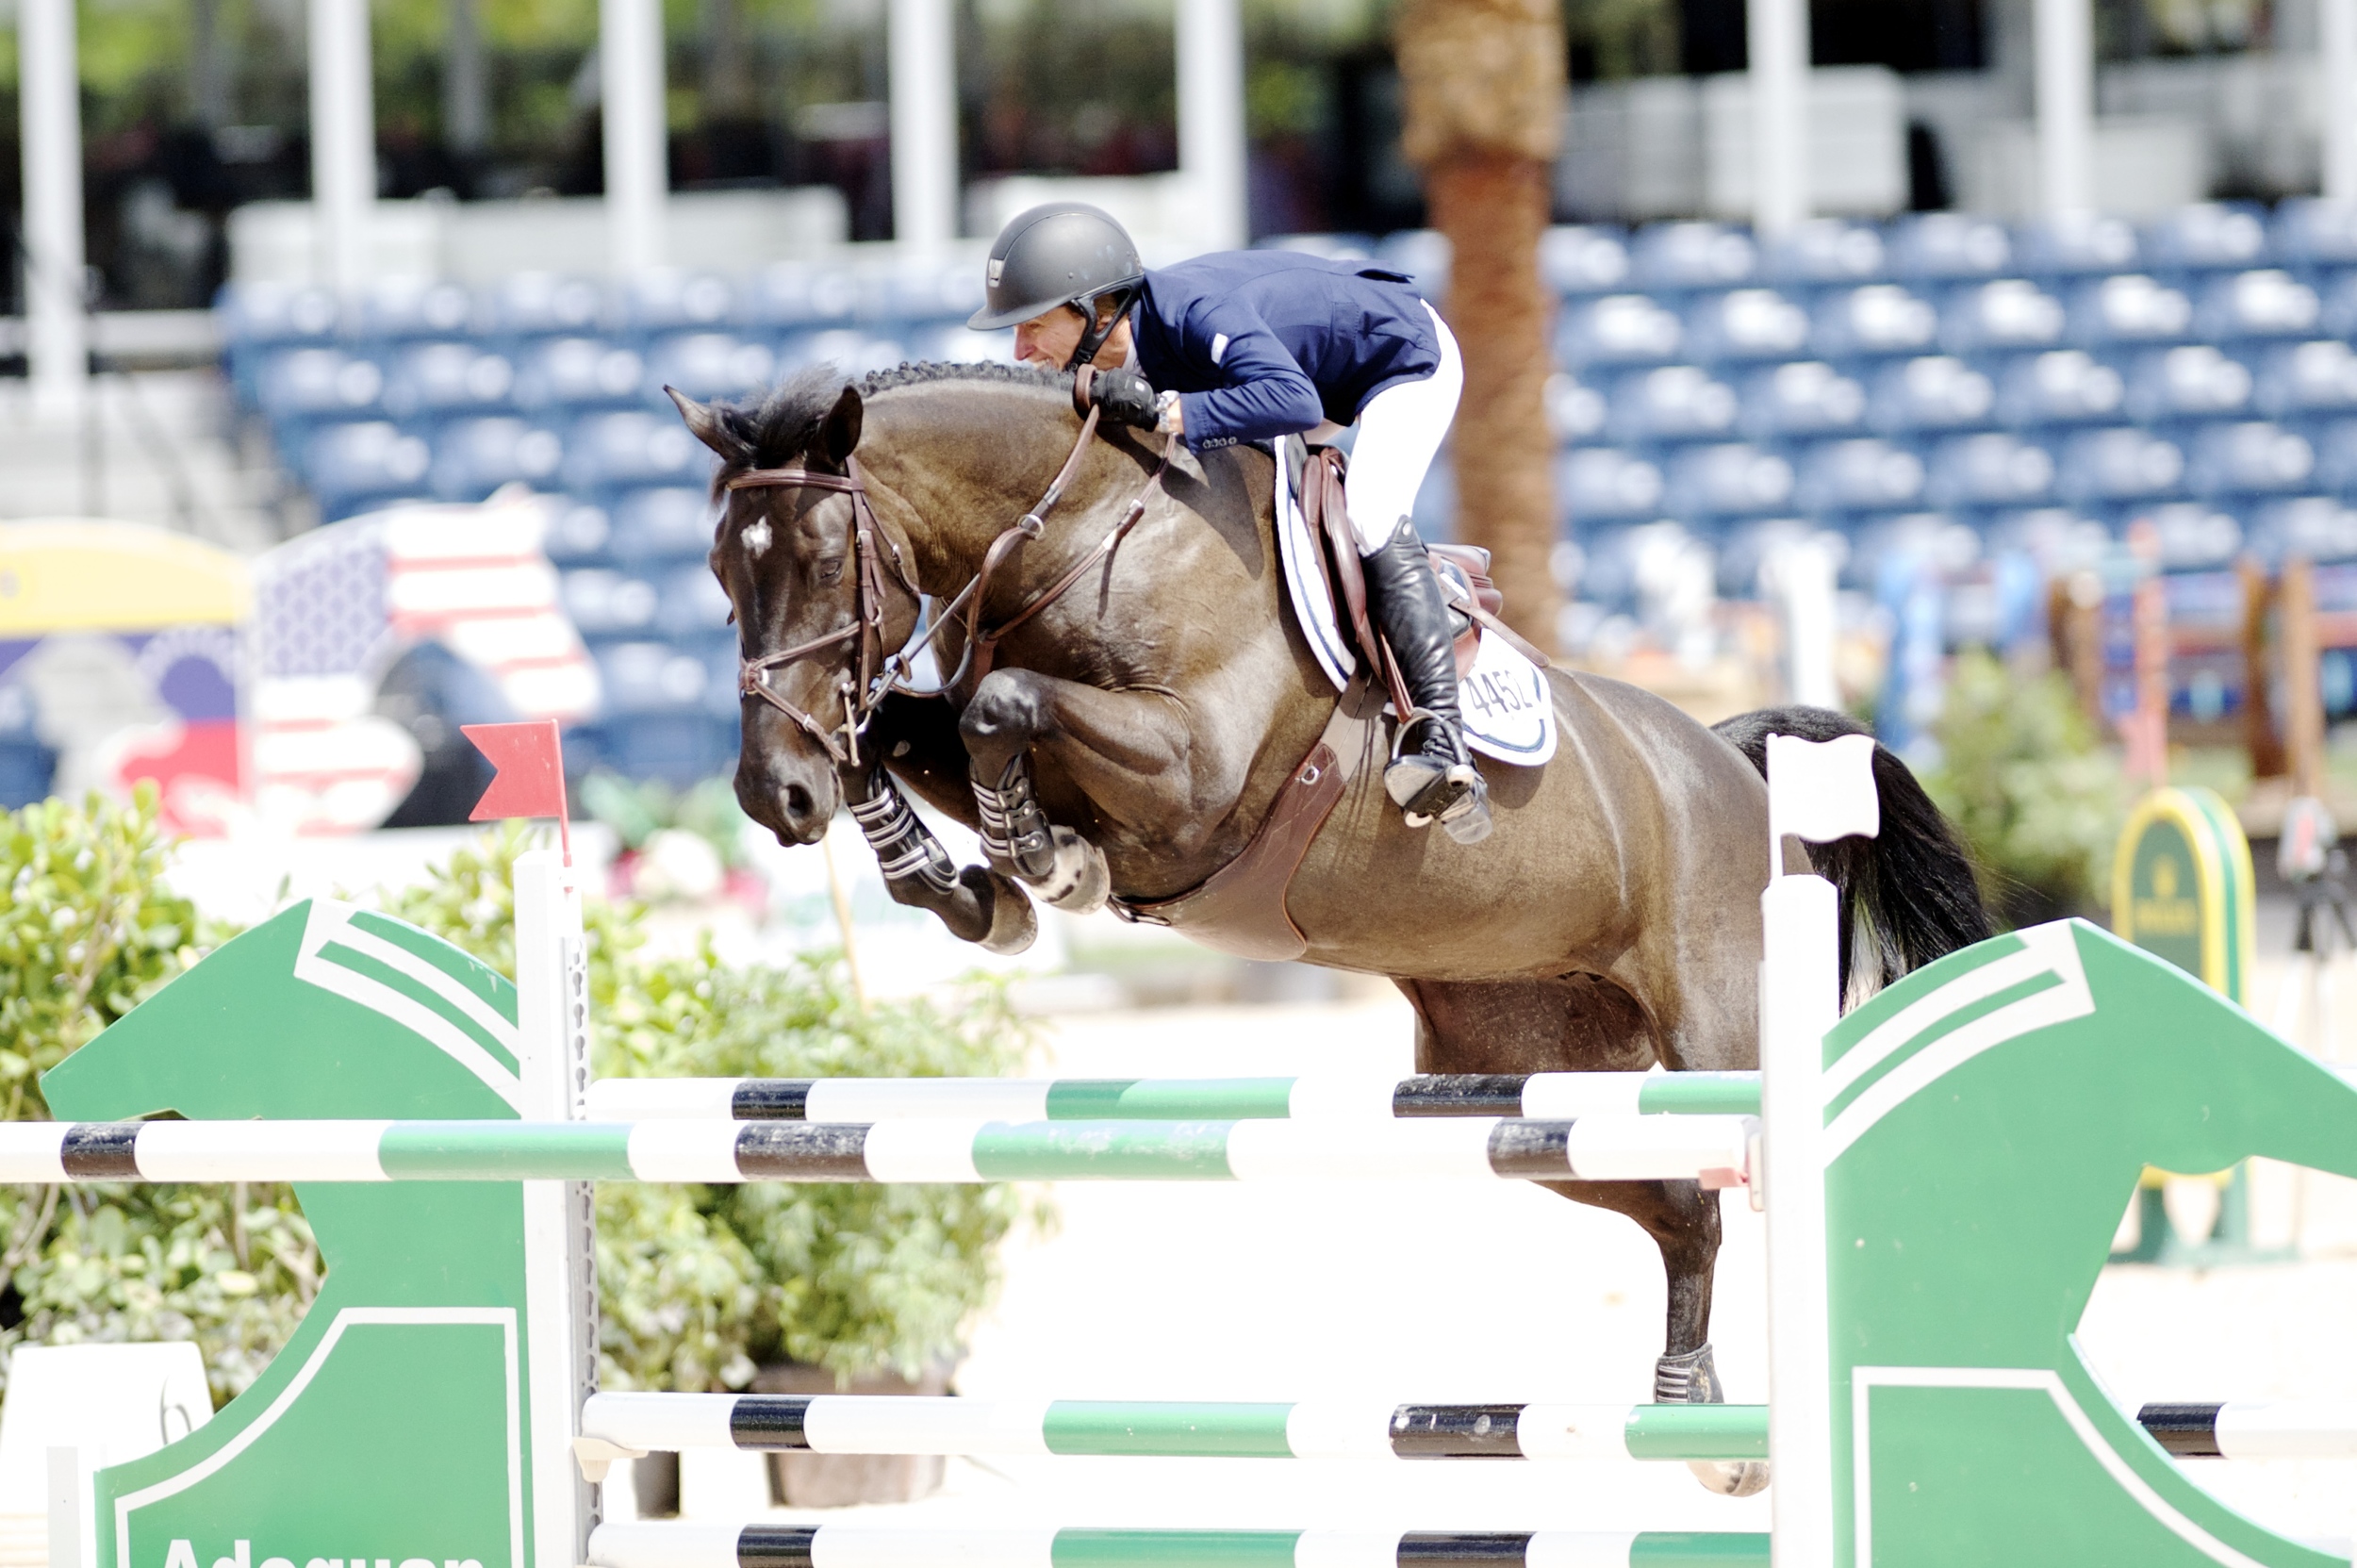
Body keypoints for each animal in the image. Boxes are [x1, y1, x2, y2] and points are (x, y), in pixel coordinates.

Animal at [669, 358, 1989, 1490]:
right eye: (723, 575)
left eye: (824, 558)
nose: (768, 795)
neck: (1084, 532)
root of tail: (1724, 762)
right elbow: (901, 729)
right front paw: (964, 890)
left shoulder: (1191, 773)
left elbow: (999, 704)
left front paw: (1038, 862)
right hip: (1526, 1074)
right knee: (1682, 1206)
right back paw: (1696, 1417)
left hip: (1721, 1035)